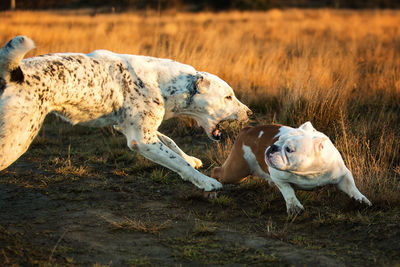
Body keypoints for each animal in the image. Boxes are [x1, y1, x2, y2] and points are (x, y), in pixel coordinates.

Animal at [0, 36, 250, 193]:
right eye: (228, 97)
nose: (250, 112)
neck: (161, 83)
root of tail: (12, 74)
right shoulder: (142, 140)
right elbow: (177, 161)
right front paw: (206, 182)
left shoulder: (136, 130)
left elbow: (172, 143)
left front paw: (190, 158)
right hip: (17, 140)